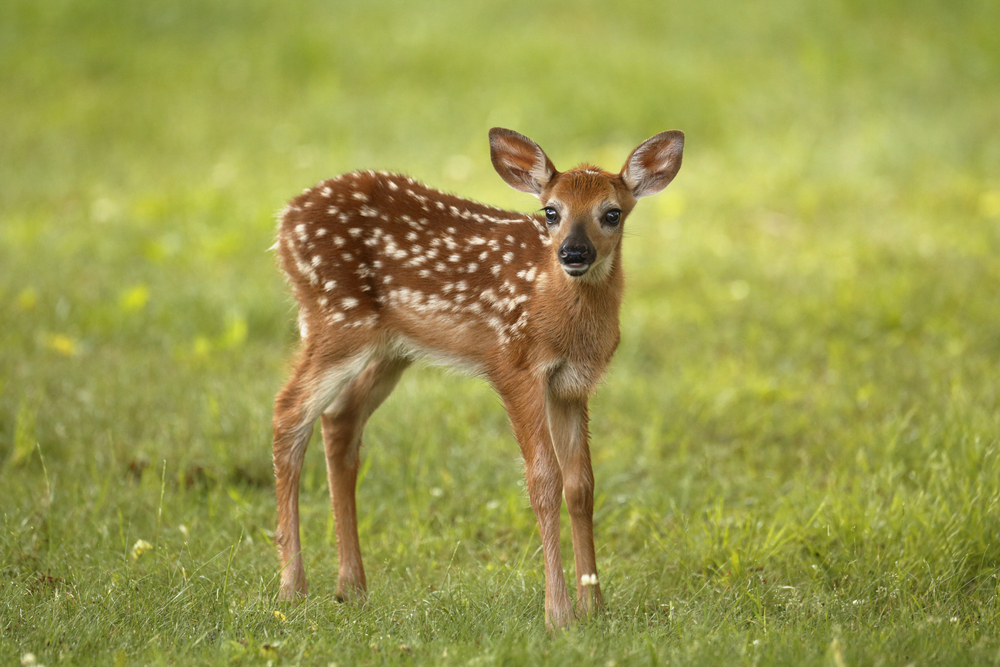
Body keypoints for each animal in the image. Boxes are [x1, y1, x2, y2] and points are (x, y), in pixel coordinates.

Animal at [271, 127, 684, 628]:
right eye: (551, 211)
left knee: (340, 419)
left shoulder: (572, 384)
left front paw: (595, 607)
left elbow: (581, 484)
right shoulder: (513, 364)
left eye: (612, 213)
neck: (555, 309)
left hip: (390, 348)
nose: (573, 253)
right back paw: (292, 588)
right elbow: (543, 481)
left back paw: (351, 588)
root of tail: (285, 218)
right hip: (334, 320)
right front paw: (558, 614)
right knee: (289, 411)